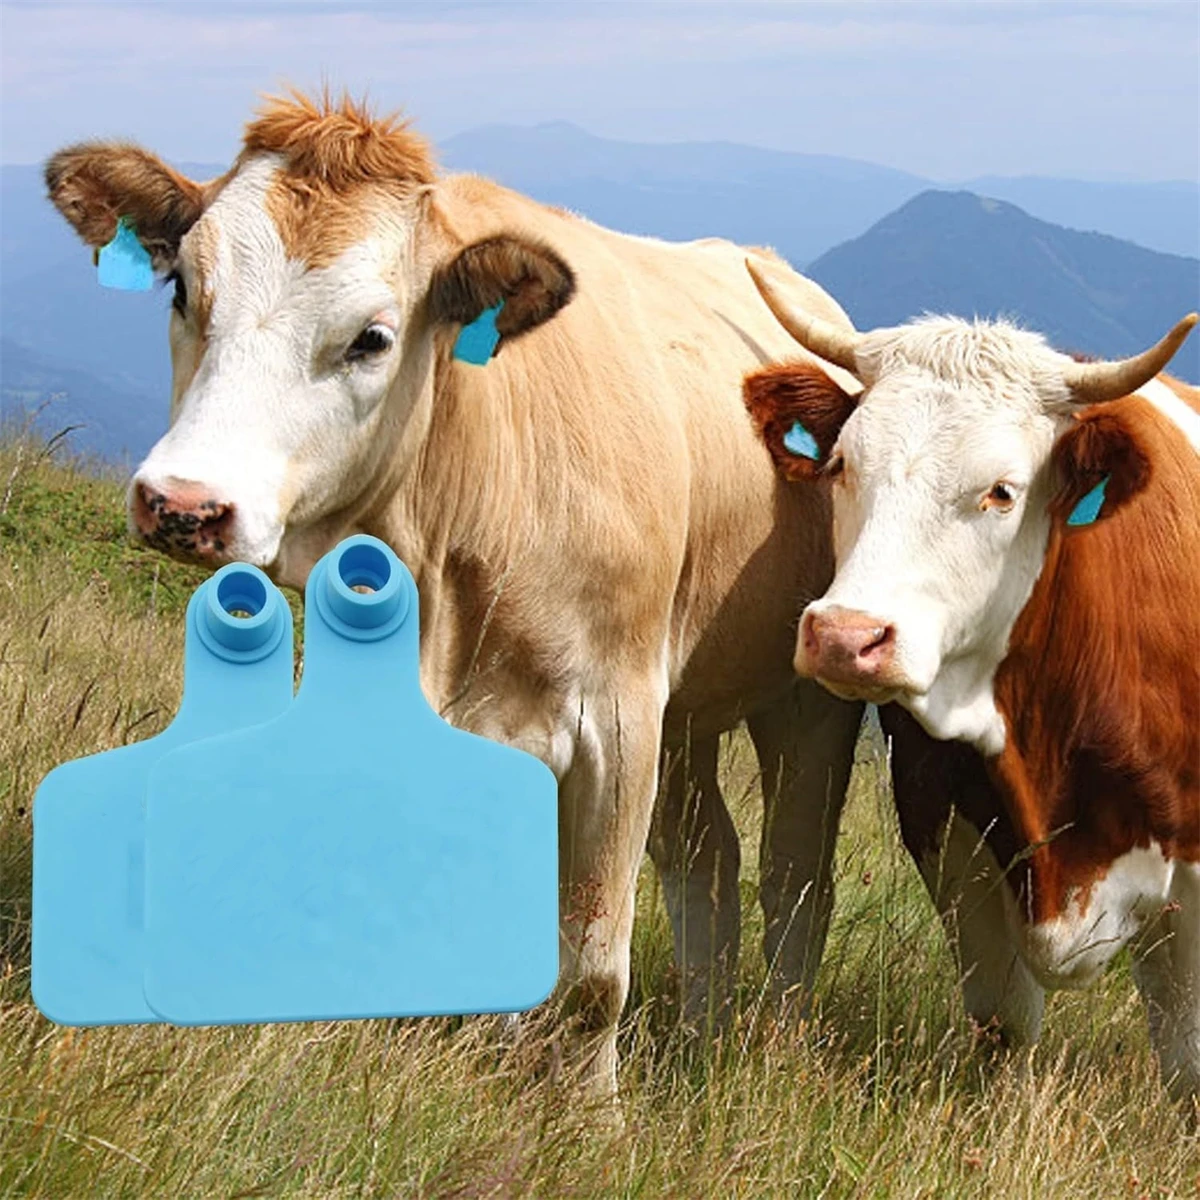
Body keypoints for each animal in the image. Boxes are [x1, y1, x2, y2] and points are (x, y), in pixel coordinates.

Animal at [43, 91, 867, 1100]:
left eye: (372, 338)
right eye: (182, 294)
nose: (183, 503)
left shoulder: (619, 713)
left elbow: (592, 969)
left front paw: (590, 1112)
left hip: (804, 701)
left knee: (796, 874)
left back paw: (768, 1045)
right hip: (688, 709)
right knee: (708, 856)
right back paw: (704, 1030)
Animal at [741, 259, 1200, 1108]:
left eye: (1001, 492)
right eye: (842, 465)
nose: (845, 636)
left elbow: (1187, 1063)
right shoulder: (947, 831)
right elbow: (1003, 1021)